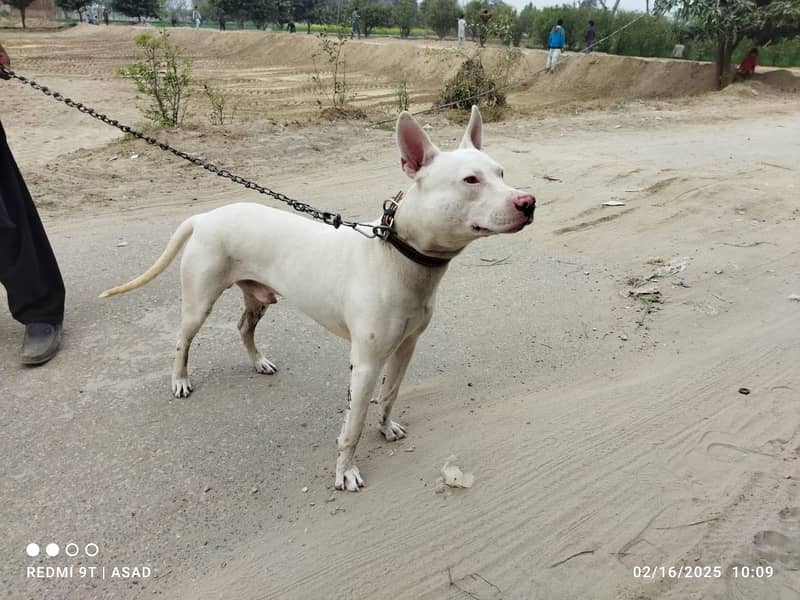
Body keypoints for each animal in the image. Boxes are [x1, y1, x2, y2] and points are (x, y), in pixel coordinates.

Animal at [101, 106, 536, 492]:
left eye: (500, 172)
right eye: (470, 180)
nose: (528, 202)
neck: (398, 253)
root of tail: (205, 216)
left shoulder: (406, 348)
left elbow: (390, 395)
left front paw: (385, 427)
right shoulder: (365, 363)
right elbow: (352, 425)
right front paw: (345, 472)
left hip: (258, 297)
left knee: (244, 327)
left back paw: (258, 362)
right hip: (198, 301)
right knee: (183, 340)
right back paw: (179, 380)